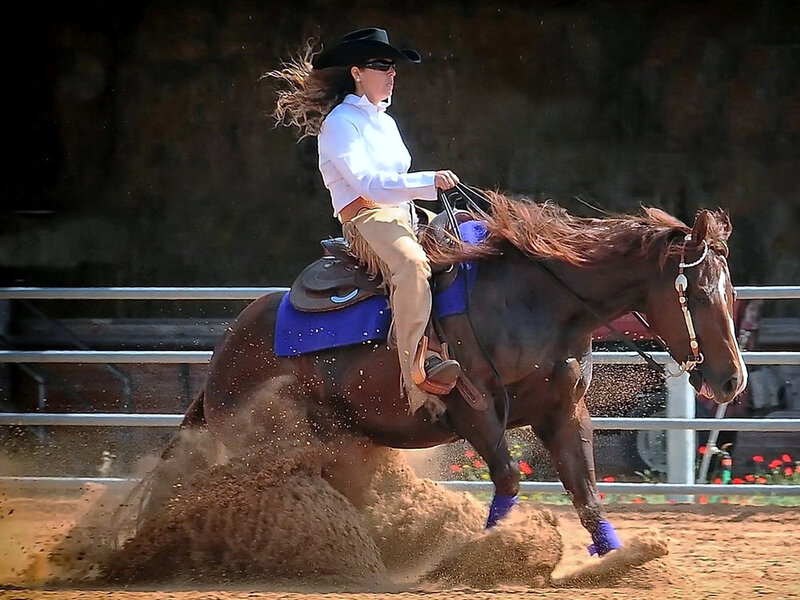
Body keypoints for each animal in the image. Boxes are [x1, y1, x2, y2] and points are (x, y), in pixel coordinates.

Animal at [174, 193, 747, 557]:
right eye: (698, 294)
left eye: (732, 292)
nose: (731, 382)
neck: (537, 301)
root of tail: (222, 356)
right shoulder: (472, 409)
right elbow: (510, 478)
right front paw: (488, 555)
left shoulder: (563, 411)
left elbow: (584, 490)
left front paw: (618, 560)